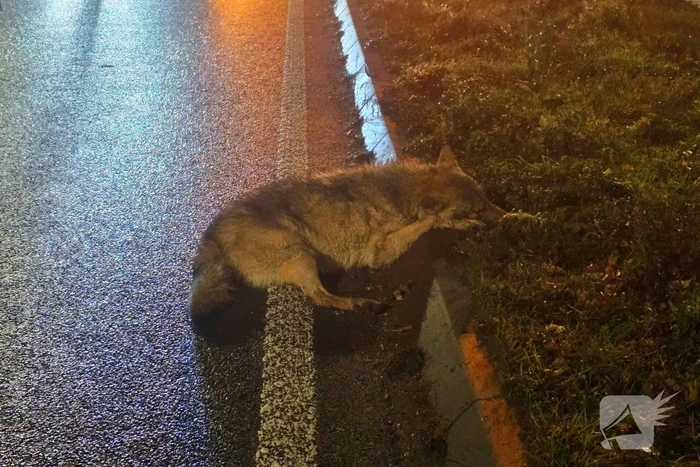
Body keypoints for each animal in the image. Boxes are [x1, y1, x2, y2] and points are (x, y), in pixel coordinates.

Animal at [188, 146, 506, 331]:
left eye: (487, 199)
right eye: (478, 209)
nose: (507, 216)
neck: (403, 193)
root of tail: (213, 230)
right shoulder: (380, 252)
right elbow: (426, 224)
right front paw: (462, 225)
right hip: (300, 251)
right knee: (319, 297)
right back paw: (362, 304)